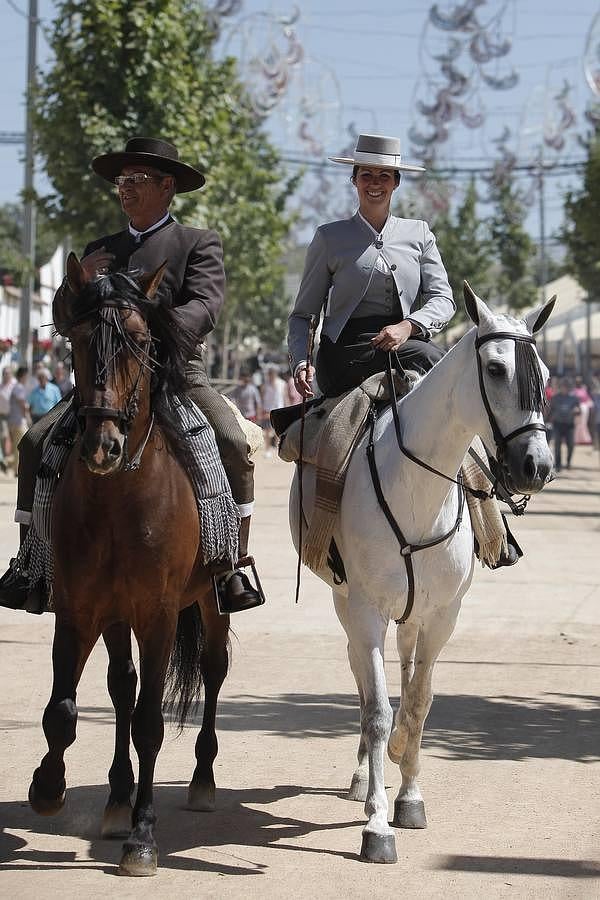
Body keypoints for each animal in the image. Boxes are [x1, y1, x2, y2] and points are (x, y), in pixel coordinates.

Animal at [29, 256, 233, 876]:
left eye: (141, 342)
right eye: (76, 340)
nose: (103, 445)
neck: (117, 499)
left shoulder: (159, 615)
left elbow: (149, 723)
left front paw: (143, 837)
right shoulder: (77, 609)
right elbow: (63, 709)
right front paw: (47, 787)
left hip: (209, 603)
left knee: (212, 671)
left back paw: (201, 780)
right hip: (115, 615)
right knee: (122, 687)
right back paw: (118, 797)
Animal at [288, 288, 556, 864]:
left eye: (544, 372)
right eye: (496, 368)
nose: (537, 466)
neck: (415, 487)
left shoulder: (442, 616)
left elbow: (419, 703)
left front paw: (409, 794)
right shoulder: (365, 611)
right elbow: (378, 709)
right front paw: (376, 825)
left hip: (410, 616)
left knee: (406, 676)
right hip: (348, 607)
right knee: (363, 682)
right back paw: (363, 774)